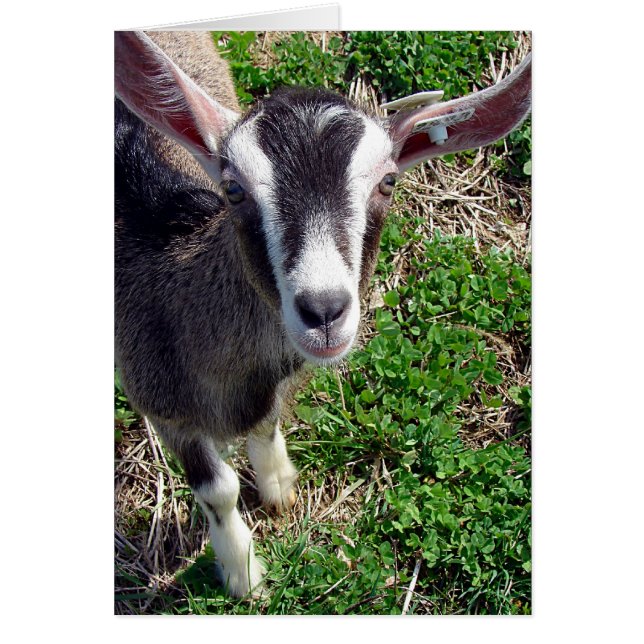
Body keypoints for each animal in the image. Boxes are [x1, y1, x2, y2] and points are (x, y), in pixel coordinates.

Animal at [114, 30, 531, 598]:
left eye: (388, 183)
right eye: (233, 188)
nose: (324, 310)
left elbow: (268, 424)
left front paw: (278, 485)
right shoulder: (163, 406)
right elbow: (219, 490)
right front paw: (244, 574)